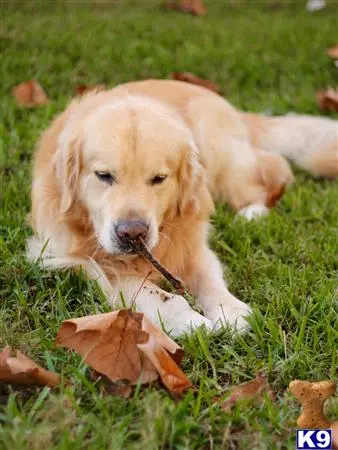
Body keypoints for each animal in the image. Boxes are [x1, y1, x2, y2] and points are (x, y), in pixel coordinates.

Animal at [27, 79, 338, 336]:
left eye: (159, 178)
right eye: (104, 175)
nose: (133, 234)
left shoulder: (194, 244)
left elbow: (210, 279)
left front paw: (232, 310)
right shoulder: (75, 258)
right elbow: (150, 291)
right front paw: (189, 321)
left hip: (223, 158)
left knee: (274, 170)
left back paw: (252, 213)